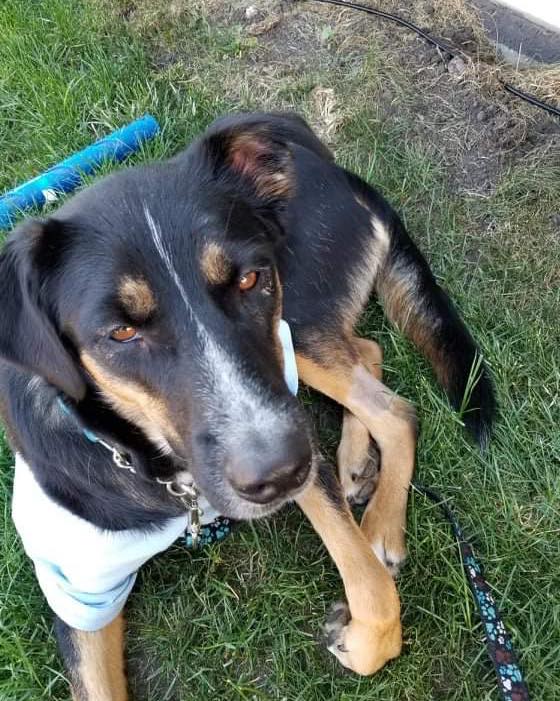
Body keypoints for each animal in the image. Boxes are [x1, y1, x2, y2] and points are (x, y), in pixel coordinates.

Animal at [0, 112, 495, 700]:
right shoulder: (78, 588)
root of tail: (336, 172)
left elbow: (375, 597)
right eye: (120, 332)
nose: (279, 476)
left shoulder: (296, 442)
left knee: (395, 408)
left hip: (295, 326)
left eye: (250, 278)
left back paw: (378, 522)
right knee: (371, 358)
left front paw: (354, 633)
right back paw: (356, 461)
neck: (164, 472)